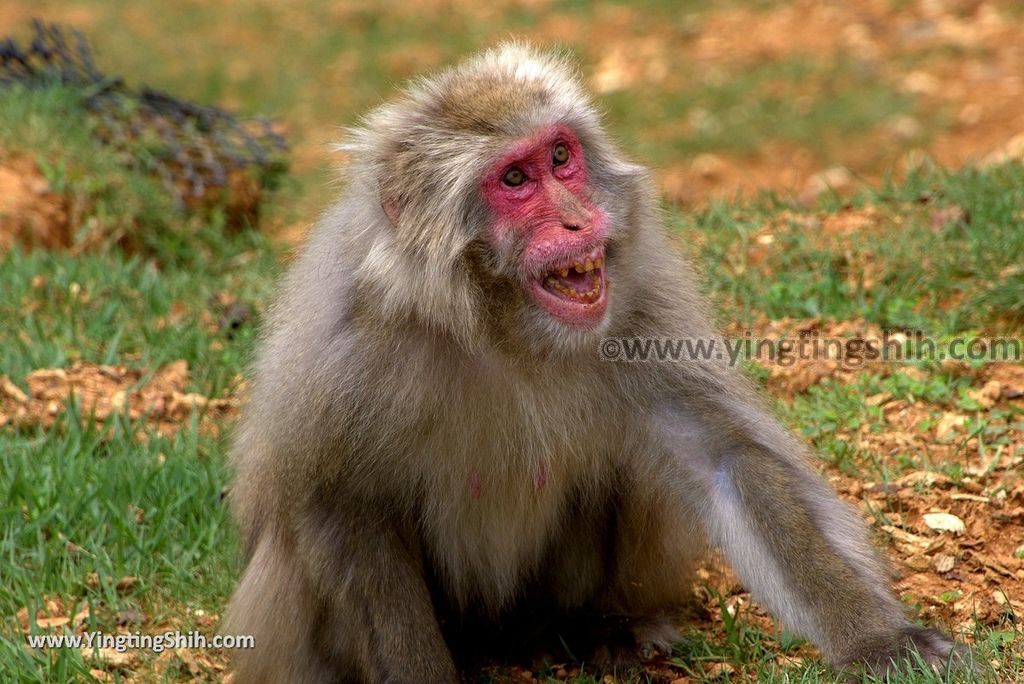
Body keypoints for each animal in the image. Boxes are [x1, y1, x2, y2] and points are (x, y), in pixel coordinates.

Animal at [222, 44, 958, 684]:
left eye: (560, 157)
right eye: (515, 179)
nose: (579, 219)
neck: (504, 330)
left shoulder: (641, 312)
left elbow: (725, 459)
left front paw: (877, 637)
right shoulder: (346, 354)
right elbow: (343, 504)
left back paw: (602, 630)